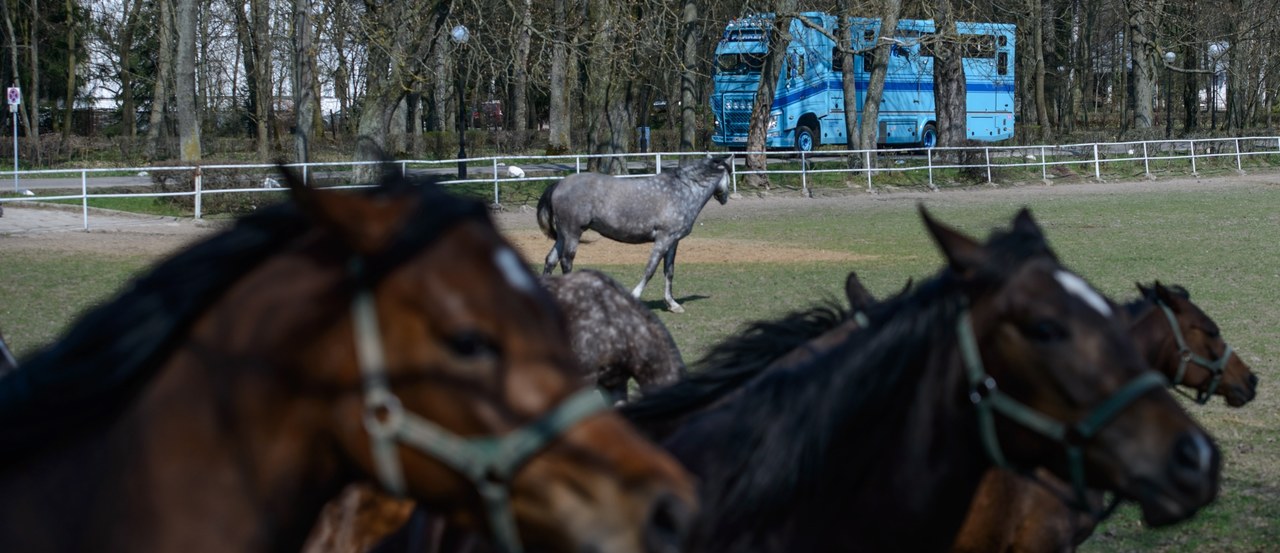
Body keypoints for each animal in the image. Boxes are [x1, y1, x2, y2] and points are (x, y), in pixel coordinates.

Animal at [532, 155, 732, 313]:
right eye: (729, 175)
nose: (725, 198)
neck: (682, 191)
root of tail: (559, 183)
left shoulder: (673, 241)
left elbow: (669, 271)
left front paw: (672, 304)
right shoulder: (663, 239)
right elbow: (650, 269)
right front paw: (635, 296)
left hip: (563, 236)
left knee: (551, 260)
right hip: (572, 233)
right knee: (566, 262)